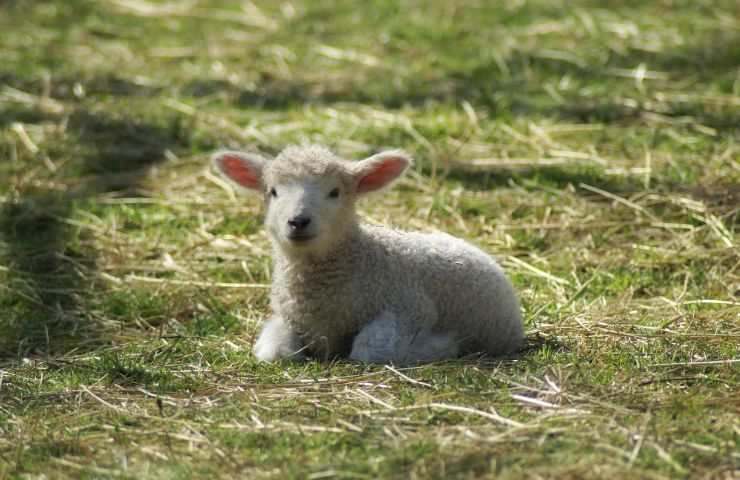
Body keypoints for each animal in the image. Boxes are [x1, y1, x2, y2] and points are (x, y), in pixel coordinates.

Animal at [212, 145, 528, 364]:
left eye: (335, 192)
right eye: (273, 192)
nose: (298, 221)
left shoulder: (410, 307)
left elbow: (370, 349)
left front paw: (441, 346)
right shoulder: (290, 318)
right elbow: (274, 351)